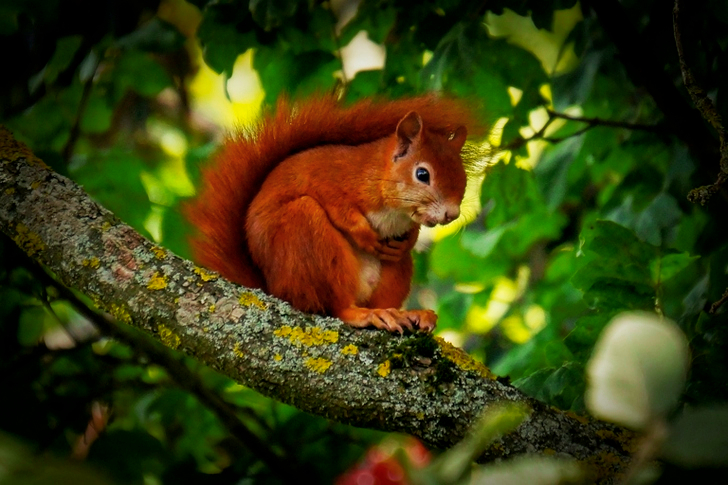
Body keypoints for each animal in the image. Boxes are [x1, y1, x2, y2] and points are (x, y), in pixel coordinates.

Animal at [186, 95, 483, 333]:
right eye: (422, 174)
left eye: (463, 177)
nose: (451, 214)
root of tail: (273, 288)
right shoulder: (327, 178)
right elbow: (340, 209)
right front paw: (365, 235)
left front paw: (407, 241)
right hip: (305, 235)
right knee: (334, 307)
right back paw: (365, 314)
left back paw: (405, 313)